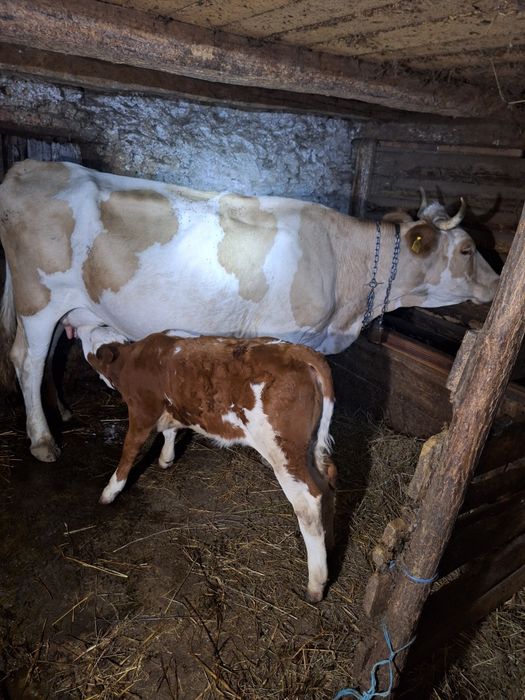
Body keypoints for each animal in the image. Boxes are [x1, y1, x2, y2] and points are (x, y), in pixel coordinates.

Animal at [0, 159, 499, 462]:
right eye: (468, 249)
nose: (497, 283)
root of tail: (31, 167)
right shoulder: (288, 334)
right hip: (39, 298)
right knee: (28, 360)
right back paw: (43, 441)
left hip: (63, 306)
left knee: (44, 356)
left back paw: (62, 414)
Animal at [73, 325, 337, 603]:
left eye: (89, 338)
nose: (77, 330)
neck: (132, 358)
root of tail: (298, 351)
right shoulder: (174, 408)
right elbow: (170, 432)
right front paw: (166, 458)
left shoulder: (141, 413)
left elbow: (129, 452)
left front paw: (110, 491)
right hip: (312, 446)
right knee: (328, 480)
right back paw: (330, 544)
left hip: (283, 452)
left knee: (309, 503)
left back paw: (316, 584)